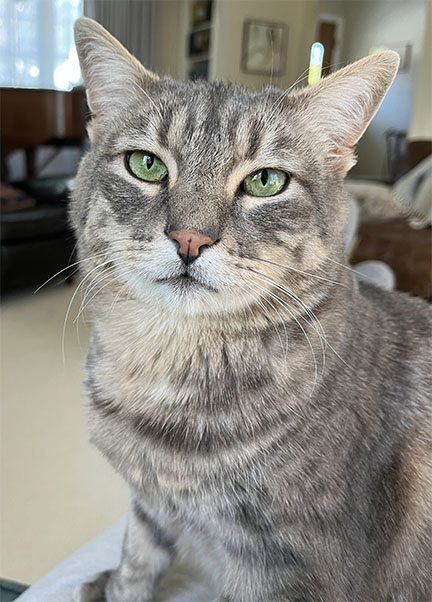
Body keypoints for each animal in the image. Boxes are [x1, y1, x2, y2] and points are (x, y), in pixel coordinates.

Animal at [70, 17, 428, 600]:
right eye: (146, 165)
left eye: (266, 181)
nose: (189, 239)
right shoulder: (149, 505)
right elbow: (136, 561)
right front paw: (116, 584)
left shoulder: (285, 571)